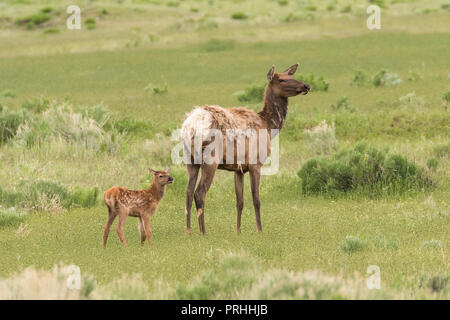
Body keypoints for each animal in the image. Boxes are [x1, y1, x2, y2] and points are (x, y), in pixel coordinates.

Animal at [181, 64, 312, 235]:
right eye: (282, 79)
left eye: (291, 76)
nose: (306, 86)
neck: (268, 126)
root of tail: (191, 125)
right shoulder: (256, 164)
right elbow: (256, 199)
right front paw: (259, 230)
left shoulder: (238, 169)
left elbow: (240, 201)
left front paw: (238, 231)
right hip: (210, 159)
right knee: (199, 193)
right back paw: (203, 232)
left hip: (190, 160)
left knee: (188, 192)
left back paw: (188, 231)